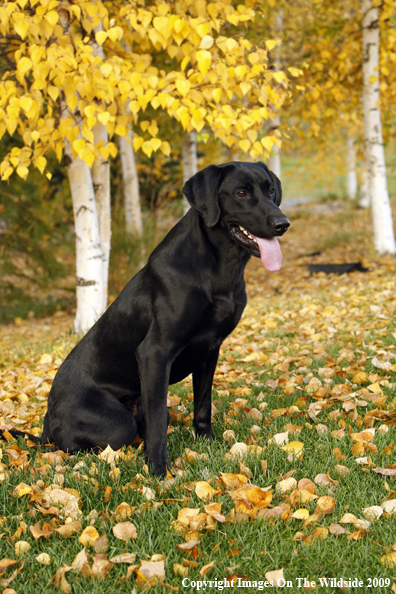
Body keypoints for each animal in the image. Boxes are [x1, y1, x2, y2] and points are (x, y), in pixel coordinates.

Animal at [3, 162, 290, 476]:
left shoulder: (210, 350)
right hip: (114, 423)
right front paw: (159, 471)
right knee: (84, 441)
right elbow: (157, 422)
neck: (219, 268)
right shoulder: (155, 353)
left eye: (271, 190)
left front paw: (208, 446)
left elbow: (202, 406)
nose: (283, 224)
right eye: (241, 193)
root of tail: (46, 421)